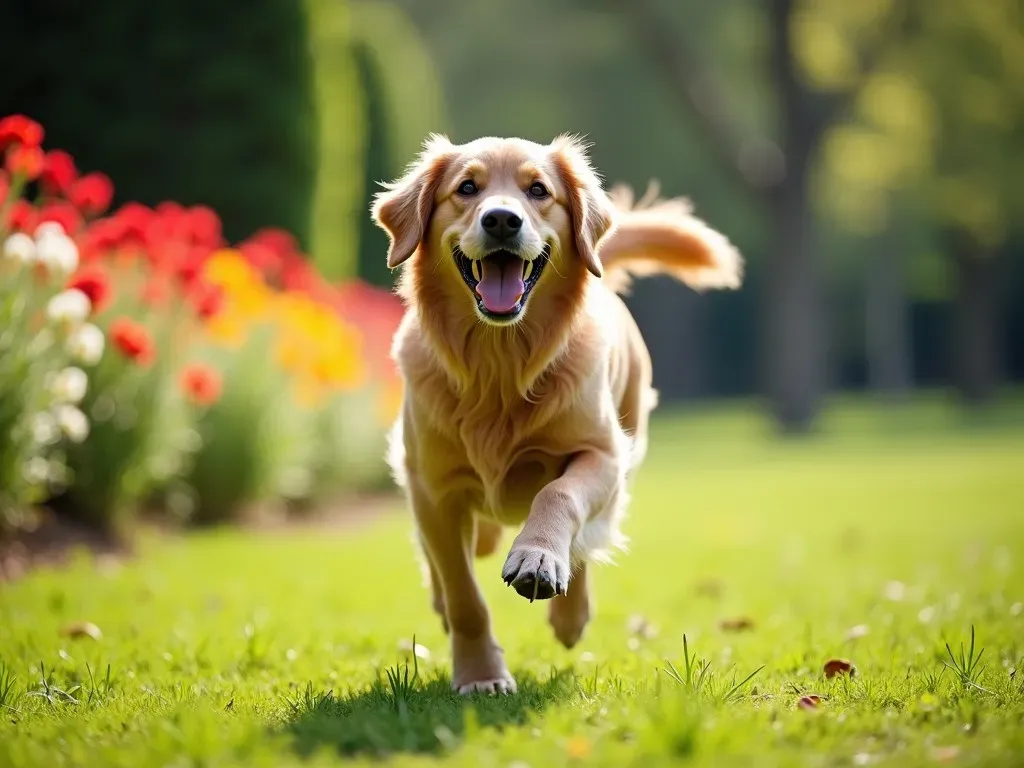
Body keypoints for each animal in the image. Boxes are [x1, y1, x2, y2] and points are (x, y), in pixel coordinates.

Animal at [372, 135, 741, 696]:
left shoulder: (602, 454)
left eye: (539, 191)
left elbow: (559, 495)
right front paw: (481, 674)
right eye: (467, 188)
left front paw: (538, 556)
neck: (499, 367)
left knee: (587, 537)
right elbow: (463, 593)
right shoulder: (433, 484)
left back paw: (570, 614)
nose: (502, 220)